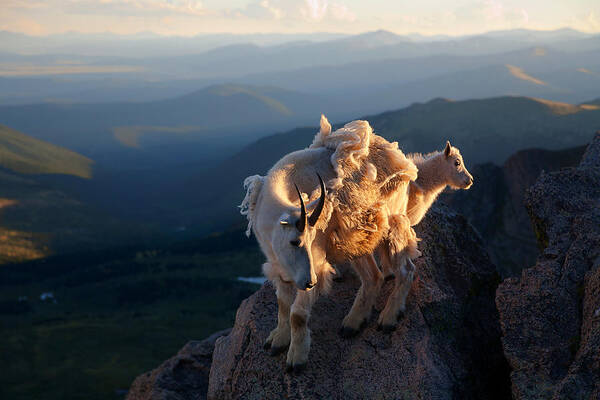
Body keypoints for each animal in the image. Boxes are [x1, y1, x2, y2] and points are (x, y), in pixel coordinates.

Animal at [239, 115, 418, 372]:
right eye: (294, 241)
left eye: (310, 239)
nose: (310, 283)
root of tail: (398, 157)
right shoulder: (280, 265)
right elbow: (282, 304)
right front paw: (277, 341)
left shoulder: (316, 259)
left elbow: (297, 314)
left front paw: (296, 360)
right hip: (357, 237)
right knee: (374, 276)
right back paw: (352, 324)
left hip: (391, 221)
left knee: (405, 269)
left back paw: (388, 318)